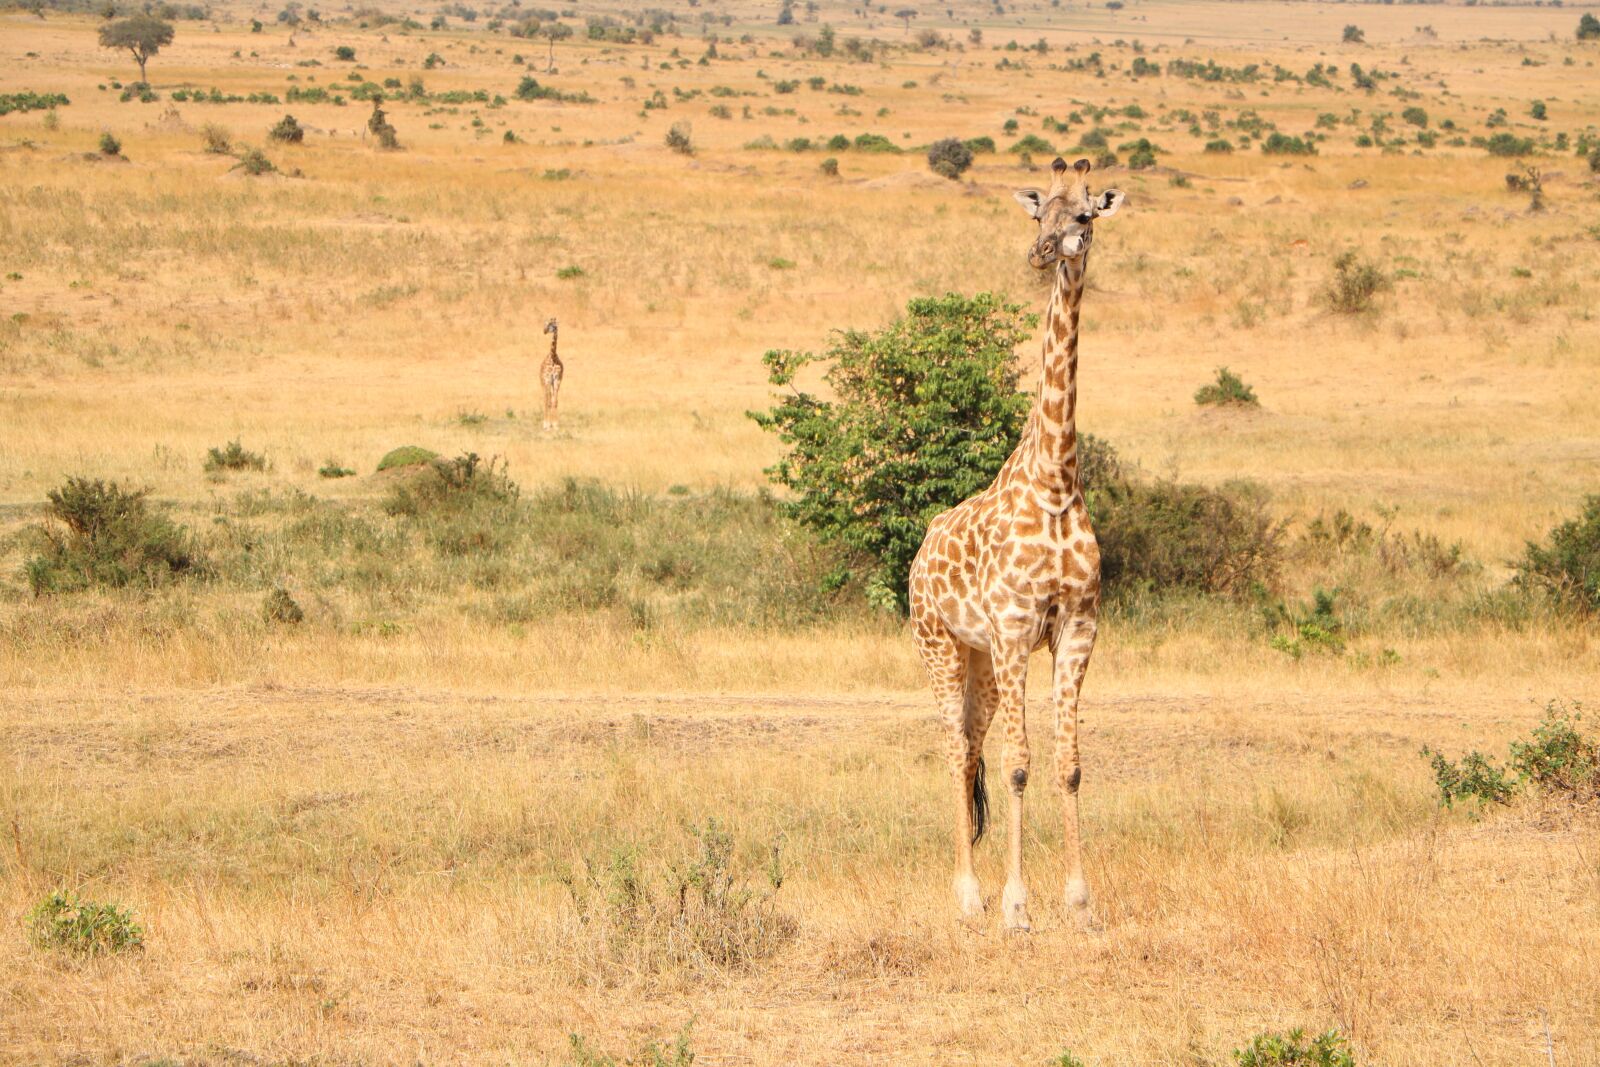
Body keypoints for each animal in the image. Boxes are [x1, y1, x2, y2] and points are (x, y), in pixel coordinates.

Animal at [915, 158, 1126, 934]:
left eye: (1085, 216)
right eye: (1039, 214)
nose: (1042, 254)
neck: (1057, 479)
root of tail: (920, 550)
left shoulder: (1077, 627)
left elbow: (1067, 763)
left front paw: (1081, 902)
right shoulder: (1013, 628)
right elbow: (1017, 765)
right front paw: (1015, 905)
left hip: (978, 659)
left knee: (972, 746)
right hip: (940, 644)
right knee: (955, 751)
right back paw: (968, 895)